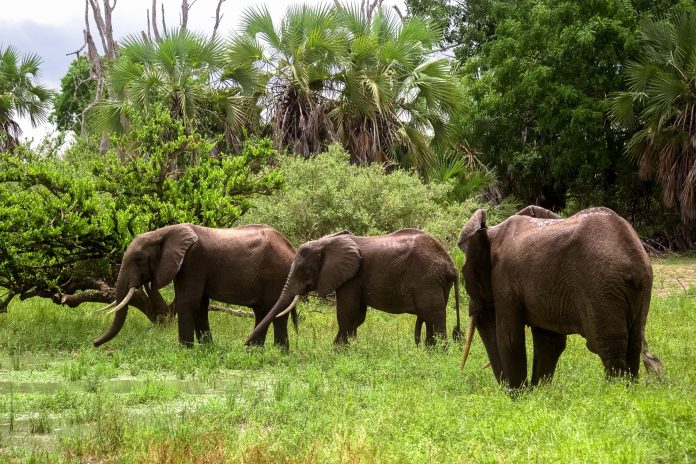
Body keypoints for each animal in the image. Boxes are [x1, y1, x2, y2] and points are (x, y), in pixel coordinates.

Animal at [93, 224, 296, 348]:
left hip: (277, 273)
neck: (163, 233)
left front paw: (185, 351)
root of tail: (291, 247)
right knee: (262, 311)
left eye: (139, 260)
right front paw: (207, 349)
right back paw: (255, 352)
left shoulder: (193, 261)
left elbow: (188, 302)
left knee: (276, 311)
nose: (94, 343)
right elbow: (200, 305)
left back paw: (277, 353)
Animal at [245, 230, 462, 346]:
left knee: (433, 314)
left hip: (428, 279)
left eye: (302, 270)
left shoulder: (351, 278)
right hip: (436, 282)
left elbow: (346, 312)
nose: (245, 345)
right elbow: (358, 315)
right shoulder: (355, 278)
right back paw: (430, 351)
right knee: (429, 316)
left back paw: (439, 353)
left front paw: (337, 350)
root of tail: (451, 265)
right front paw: (346, 347)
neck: (327, 241)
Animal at [456, 205, 664, 390]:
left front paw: (518, 398)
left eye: (464, 277)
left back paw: (615, 394)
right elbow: (549, 342)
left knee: (606, 346)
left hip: (602, 287)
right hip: (633, 292)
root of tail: (636, 259)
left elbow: (509, 338)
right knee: (633, 344)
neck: (491, 232)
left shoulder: (504, 279)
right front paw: (538, 395)